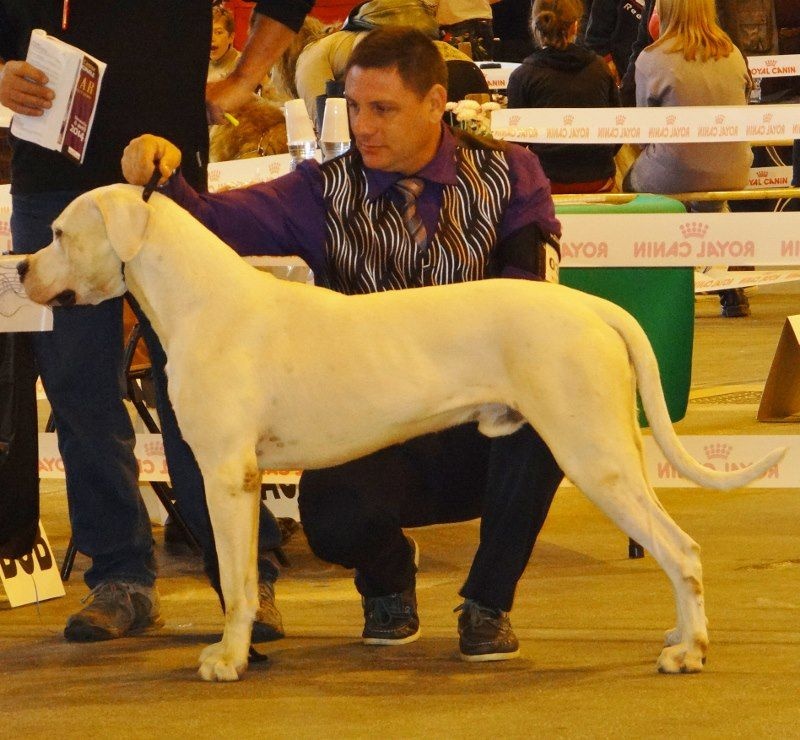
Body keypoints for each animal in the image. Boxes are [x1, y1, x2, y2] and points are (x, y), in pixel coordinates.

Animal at [20, 185, 788, 684]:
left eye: (57, 233)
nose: (21, 266)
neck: (199, 298)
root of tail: (590, 305)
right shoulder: (232, 477)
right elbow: (240, 575)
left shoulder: (225, 475)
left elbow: (237, 582)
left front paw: (228, 659)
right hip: (608, 448)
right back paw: (683, 636)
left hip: (590, 452)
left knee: (679, 549)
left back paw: (689, 653)